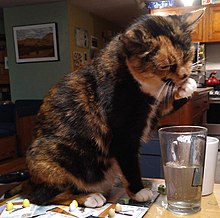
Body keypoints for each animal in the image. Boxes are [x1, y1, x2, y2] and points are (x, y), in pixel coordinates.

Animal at [9, 8, 204, 208]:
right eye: (166, 65)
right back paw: (88, 197)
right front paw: (138, 191)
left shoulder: (154, 109)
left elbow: (167, 103)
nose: (185, 74)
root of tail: (28, 181)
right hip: (48, 155)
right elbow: (129, 164)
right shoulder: (123, 134)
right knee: (43, 196)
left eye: (187, 55)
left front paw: (187, 86)